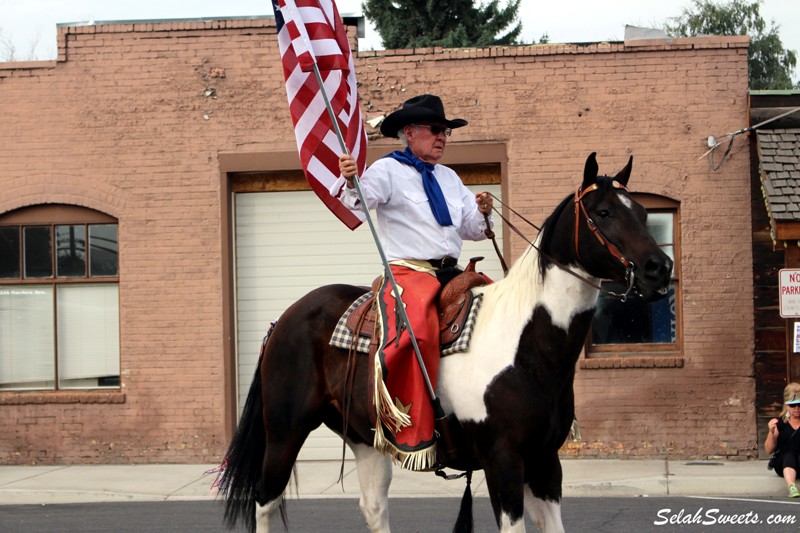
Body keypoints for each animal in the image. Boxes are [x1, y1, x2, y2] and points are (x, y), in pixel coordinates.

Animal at [219, 152, 676, 528]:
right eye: (603, 212)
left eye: (641, 211)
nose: (658, 268)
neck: (524, 347)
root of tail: (284, 319)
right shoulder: (503, 462)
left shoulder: (546, 463)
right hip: (285, 431)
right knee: (265, 500)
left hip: (364, 437)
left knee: (373, 507)